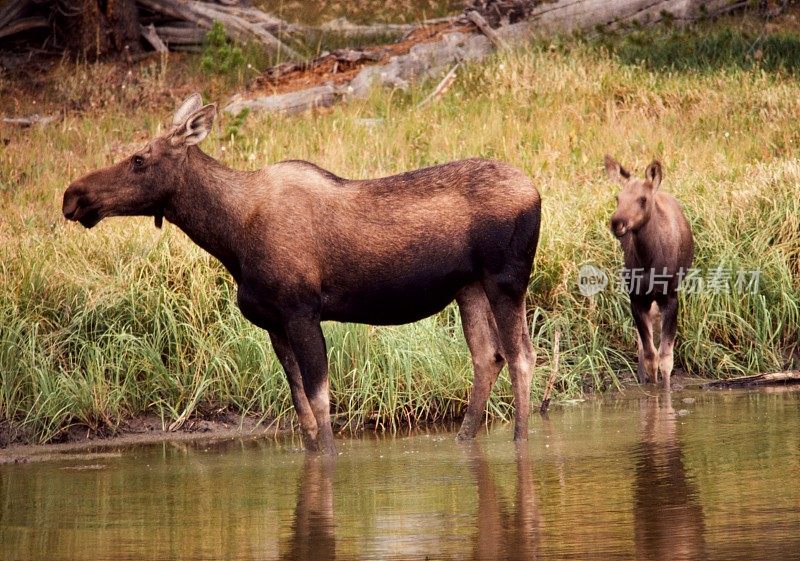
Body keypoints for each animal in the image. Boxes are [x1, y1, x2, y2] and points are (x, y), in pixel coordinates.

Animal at [62, 94, 544, 452]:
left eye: (139, 159)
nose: (72, 196)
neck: (231, 238)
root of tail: (537, 192)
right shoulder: (273, 323)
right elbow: (301, 410)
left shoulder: (301, 311)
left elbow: (320, 401)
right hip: (468, 287)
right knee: (487, 356)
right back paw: (465, 439)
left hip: (507, 279)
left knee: (521, 354)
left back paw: (520, 441)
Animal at [608, 155, 692, 388]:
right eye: (618, 198)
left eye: (643, 199)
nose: (616, 223)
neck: (649, 260)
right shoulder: (636, 298)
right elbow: (649, 354)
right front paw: (650, 385)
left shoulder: (670, 298)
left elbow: (665, 357)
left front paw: (664, 389)